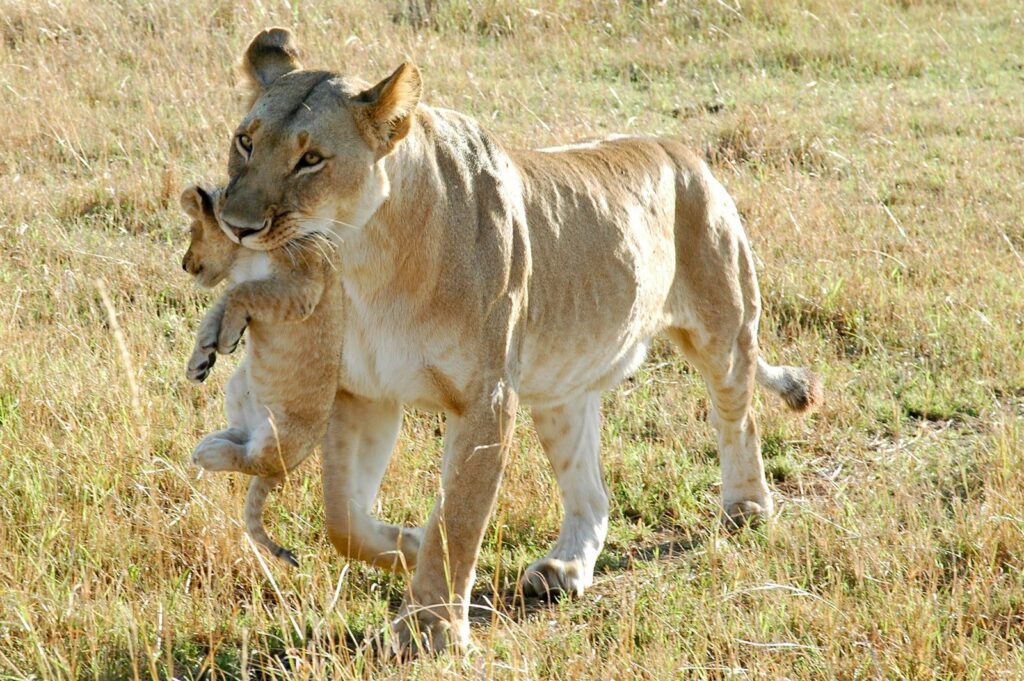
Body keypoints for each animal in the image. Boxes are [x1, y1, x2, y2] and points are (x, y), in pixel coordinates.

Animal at [180, 183, 343, 568]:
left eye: (193, 229)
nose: (184, 264)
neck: (244, 257)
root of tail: (288, 467)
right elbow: (219, 305)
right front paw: (200, 360)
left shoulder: (302, 288)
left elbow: (242, 293)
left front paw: (225, 340)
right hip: (238, 389)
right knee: (241, 436)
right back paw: (210, 442)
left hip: (279, 432)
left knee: (252, 461)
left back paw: (210, 454)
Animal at [208, 27, 823, 655]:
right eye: (245, 142)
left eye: (311, 160)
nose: (235, 224)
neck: (365, 255)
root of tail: (685, 153)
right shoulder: (365, 392)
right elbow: (342, 519)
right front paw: (410, 545)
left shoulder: (486, 399)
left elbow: (458, 519)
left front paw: (430, 628)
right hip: (561, 390)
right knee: (591, 493)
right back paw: (563, 569)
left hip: (724, 327)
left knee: (738, 417)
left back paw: (747, 506)